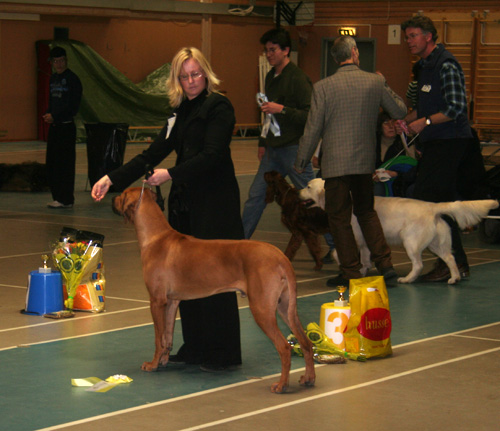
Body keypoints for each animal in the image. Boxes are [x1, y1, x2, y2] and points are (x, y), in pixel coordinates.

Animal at [114, 187, 316, 394]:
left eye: (121, 194)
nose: (112, 198)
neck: (156, 236)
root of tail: (281, 257)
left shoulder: (156, 301)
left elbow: (158, 337)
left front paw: (152, 364)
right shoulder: (171, 301)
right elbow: (167, 337)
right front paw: (163, 360)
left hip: (262, 309)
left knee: (284, 347)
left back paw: (282, 384)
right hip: (286, 307)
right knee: (306, 343)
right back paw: (308, 378)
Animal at [298, 180, 498, 286]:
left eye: (308, 187)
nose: (297, 192)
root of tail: (432, 207)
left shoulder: (352, 236)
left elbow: (337, 253)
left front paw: (347, 269)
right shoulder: (365, 242)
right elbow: (365, 259)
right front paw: (362, 271)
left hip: (410, 241)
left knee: (418, 264)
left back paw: (407, 279)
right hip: (437, 244)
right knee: (450, 258)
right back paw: (454, 278)